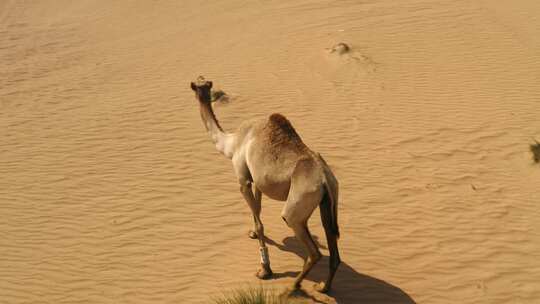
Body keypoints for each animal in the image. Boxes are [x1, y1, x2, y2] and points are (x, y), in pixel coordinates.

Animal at [191, 76, 342, 292]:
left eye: (197, 85)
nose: (200, 85)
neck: (231, 143)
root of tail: (324, 178)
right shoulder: (258, 181)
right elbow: (258, 209)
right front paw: (253, 233)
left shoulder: (243, 178)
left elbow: (259, 220)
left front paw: (265, 270)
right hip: (327, 202)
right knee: (332, 243)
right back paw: (323, 287)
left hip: (296, 208)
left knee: (313, 250)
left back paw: (293, 287)